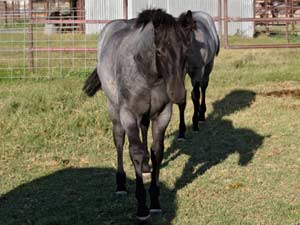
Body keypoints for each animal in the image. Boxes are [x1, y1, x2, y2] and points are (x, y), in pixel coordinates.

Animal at [82, 8, 195, 220]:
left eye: (187, 51)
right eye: (159, 51)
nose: (177, 94)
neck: (149, 75)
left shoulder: (162, 114)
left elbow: (157, 151)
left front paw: (156, 203)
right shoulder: (128, 114)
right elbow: (135, 152)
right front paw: (142, 207)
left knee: (143, 130)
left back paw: (145, 168)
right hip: (114, 109)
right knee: (119, 140)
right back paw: (120, 185)